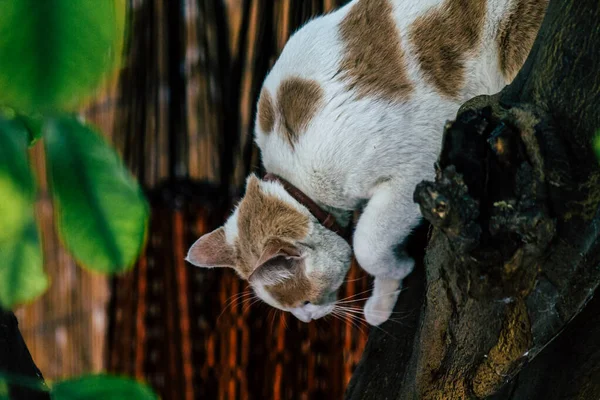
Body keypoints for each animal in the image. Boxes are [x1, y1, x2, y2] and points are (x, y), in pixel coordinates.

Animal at [186, 0, 548, 324]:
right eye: (292, 309)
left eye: (305, 301)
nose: (307, 319)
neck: (296, 178)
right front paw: (383, 301)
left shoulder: (414, 166)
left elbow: (367, 245)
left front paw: (398, 269)